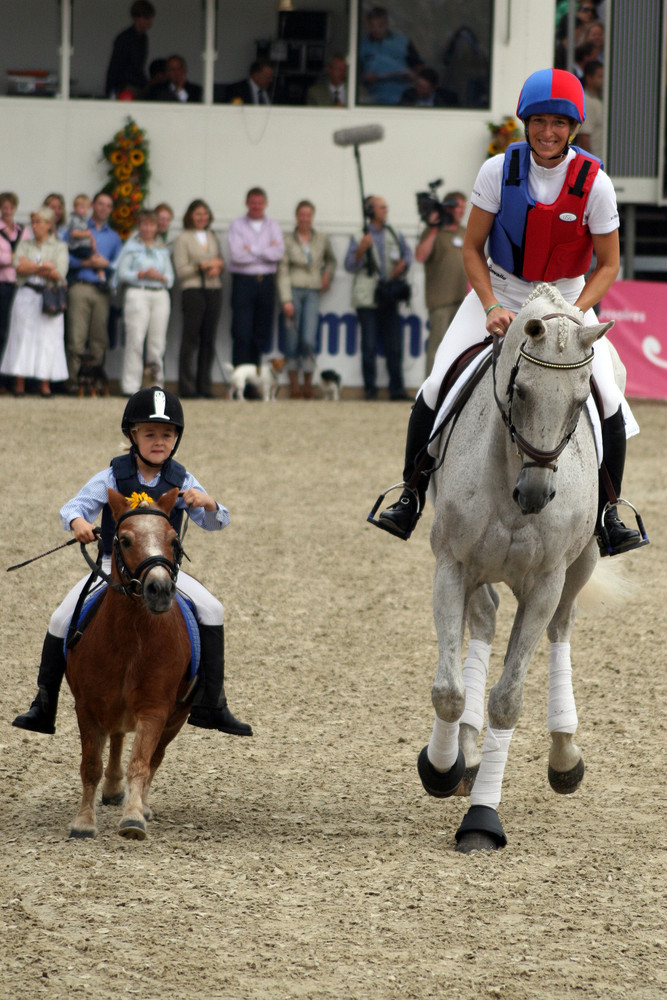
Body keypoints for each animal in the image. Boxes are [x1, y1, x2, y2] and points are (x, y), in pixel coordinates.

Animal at [66, 488, 193, 840]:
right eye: (124, 540)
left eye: (173, 540)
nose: (160, 590)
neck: (132, 638)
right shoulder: (87, 706)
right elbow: (90, 765)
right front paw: (83, 821)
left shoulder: (155, 708)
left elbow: (141, 762)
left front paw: (134, 818)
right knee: (118, 737)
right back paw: (111, 790)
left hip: (176, 717)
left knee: (153, 757)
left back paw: (142, 806)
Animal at [426, 282, 612, 852]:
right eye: (522, 392)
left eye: (580, 401)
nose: (534, 495)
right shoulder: (452, 565)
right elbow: (448, 691)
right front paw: (441, 768)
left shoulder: (546, 584)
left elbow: (507, 701)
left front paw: (483, 820)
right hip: (478, 572)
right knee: (484, 620)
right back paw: (466, 750)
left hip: (581, 564)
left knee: (560, 628)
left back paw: (564, 754)